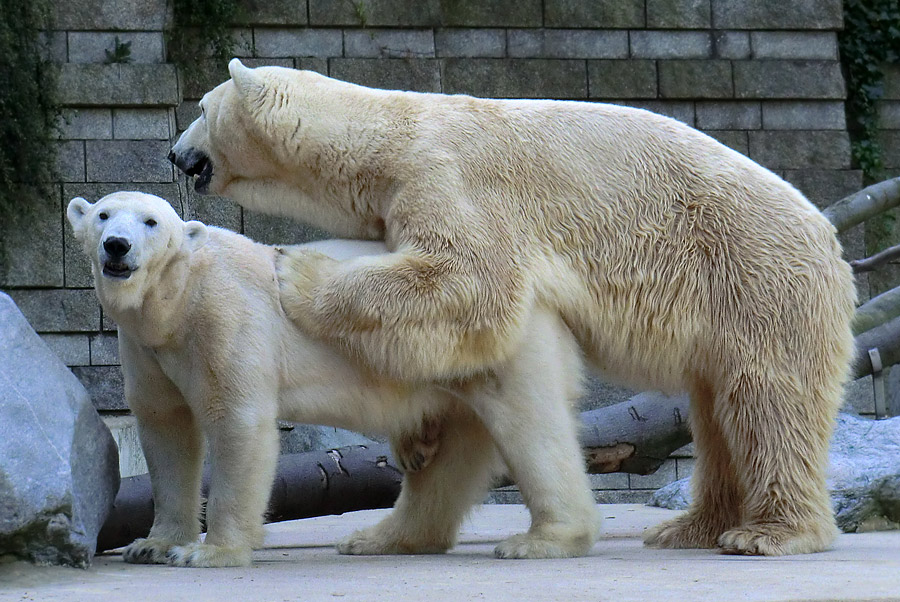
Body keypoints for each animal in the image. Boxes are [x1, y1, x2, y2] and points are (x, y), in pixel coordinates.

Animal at [68, 190, 596, 564]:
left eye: (151, 222)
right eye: (103, 215)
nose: (117, 246)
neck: (176, 300)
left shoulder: (224, 317)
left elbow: (238, 421)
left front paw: (209, 551)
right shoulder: (148, 347)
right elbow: (167, 430)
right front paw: (151, 545)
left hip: (489, 340)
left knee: (529, 427)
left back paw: (542, 540)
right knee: (450, 455)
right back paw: (383, 538)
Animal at [171, 59, 856, 552]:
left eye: (200, 108)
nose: (174, 153)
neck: (389, 135)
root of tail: (828, 235)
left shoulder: (447, 180)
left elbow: (465, 283)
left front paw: (298, 271)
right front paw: (414, 443)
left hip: (755, 277)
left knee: (767, 398)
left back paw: (769, 534)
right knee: (716, 409)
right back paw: (690, 528)